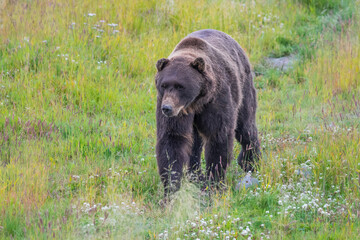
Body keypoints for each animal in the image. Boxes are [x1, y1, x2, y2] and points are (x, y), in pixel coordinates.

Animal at [153, 29, 260, 197]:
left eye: (180, 86)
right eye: (164, 85)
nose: (167, 108)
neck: (195, 101)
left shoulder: (216, 100)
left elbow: (218, 136)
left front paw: (214, 182)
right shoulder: (172, 109)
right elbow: (172, 140)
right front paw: (171, 187)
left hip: (243, 86)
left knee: (245, 126)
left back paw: (250, 161)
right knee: (194, 143)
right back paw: (196, 175)